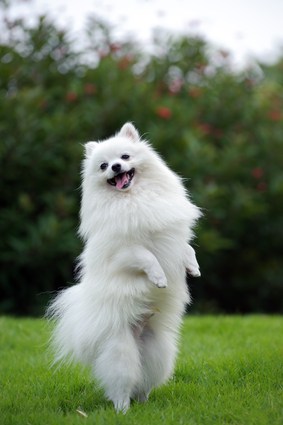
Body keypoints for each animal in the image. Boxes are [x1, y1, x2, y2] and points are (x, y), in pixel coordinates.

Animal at [47, 121, 202, 410]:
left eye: (125, 156)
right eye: (103, 166)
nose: (116, 167)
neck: (134, 197)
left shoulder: (173, 236)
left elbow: (186, 248)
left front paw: (193, 268)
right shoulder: (124, 252)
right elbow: (147, 257)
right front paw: (159, 278)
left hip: (158, 351)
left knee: (144, 381)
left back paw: (144, 402)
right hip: (120, 350)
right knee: (121, 386)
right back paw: (123, 410)